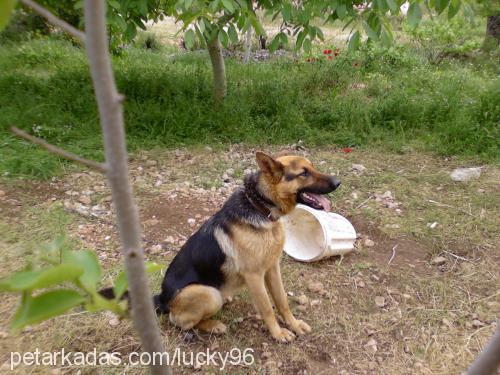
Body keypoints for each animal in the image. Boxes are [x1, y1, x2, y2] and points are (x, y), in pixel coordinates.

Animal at [152, 153, 340, 344]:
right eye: (303, 173)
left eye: (312, 167)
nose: (338, 182)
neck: (261, 208)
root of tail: (161, 298)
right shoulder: (254, 276)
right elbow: (267, 308)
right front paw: (278, 333)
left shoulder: (273, 268)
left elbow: (282, 300)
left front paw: (293, 324)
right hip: (209, 294)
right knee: (181, 322)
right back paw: (213, 325)